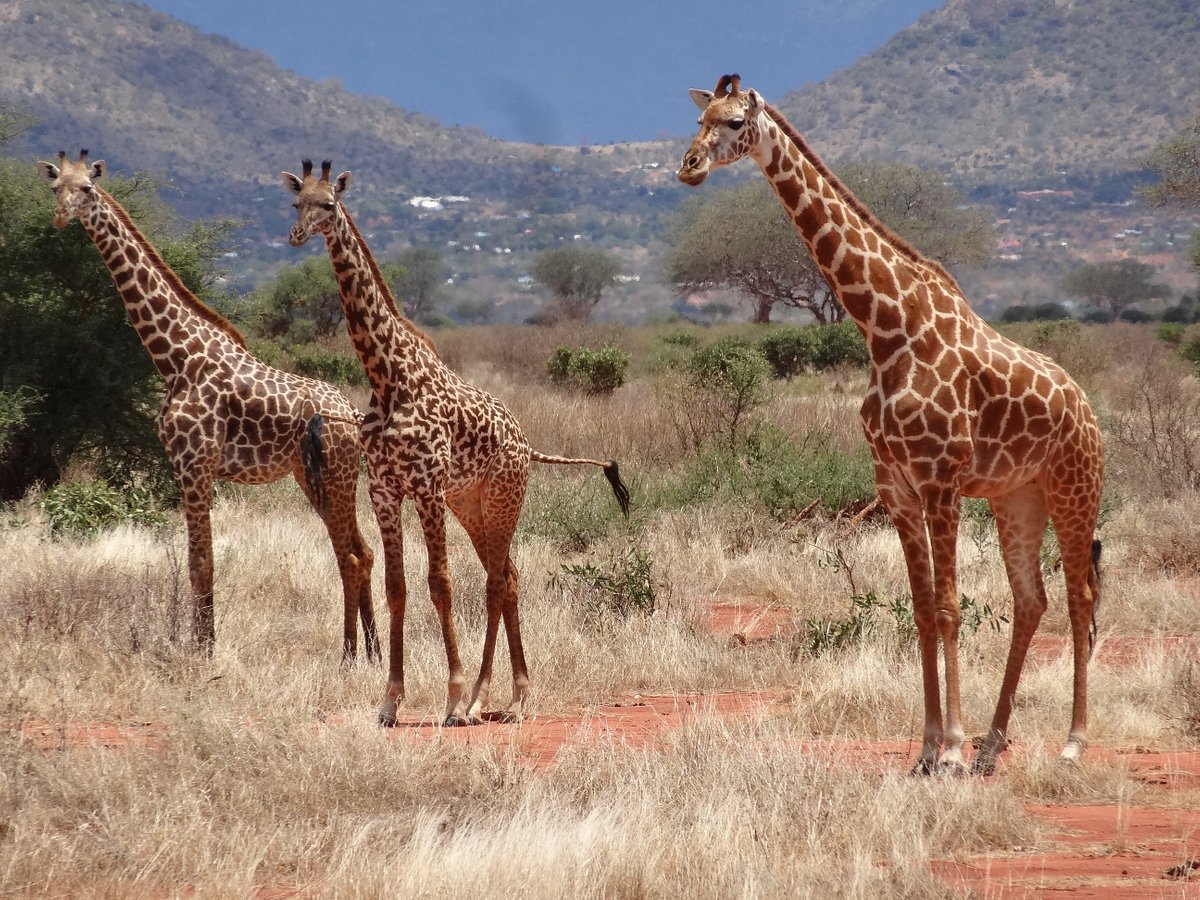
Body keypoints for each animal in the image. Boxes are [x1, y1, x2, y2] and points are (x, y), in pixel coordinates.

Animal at [41, 151, 379, 667]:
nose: (61, 216)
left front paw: (204, 652)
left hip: (338, 476)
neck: (173, 358)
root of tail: (352, 415)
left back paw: (350, 656)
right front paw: (199, 644)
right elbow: (196, 561)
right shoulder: (183, 466)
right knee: (359, 551)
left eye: (88, 190)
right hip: (312, 477)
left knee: (354, 555)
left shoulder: (195, 464)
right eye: (56, 186)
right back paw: (371, 653)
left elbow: (203, 563)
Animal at [282, 158, 633, 729]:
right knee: (506, 573)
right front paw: (390, 701)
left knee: (496, 582)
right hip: (470, 503)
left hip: (503, 495)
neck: (387, 377)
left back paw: (496, 698)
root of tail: (526, 442)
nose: (295, 236)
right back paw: (497, 696)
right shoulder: (384, 489)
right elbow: (397, 588)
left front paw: (451, 695)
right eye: (296, 203)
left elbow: (440, 585)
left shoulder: (425, 487)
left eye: (329, 204)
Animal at [681, 75, 1099, 777]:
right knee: (1031, 599)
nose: (687, 167)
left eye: (735, 120)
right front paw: (929, 750)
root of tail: (1090, 410)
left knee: (1080, 597)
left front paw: (949, 749)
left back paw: (1070, 743)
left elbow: (951, 607)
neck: (884, 330)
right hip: (1018, 496)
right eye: (699, 118)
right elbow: (924, 609)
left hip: (1075, 489)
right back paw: (992, 747)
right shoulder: (896, 486)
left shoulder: (939, 479)